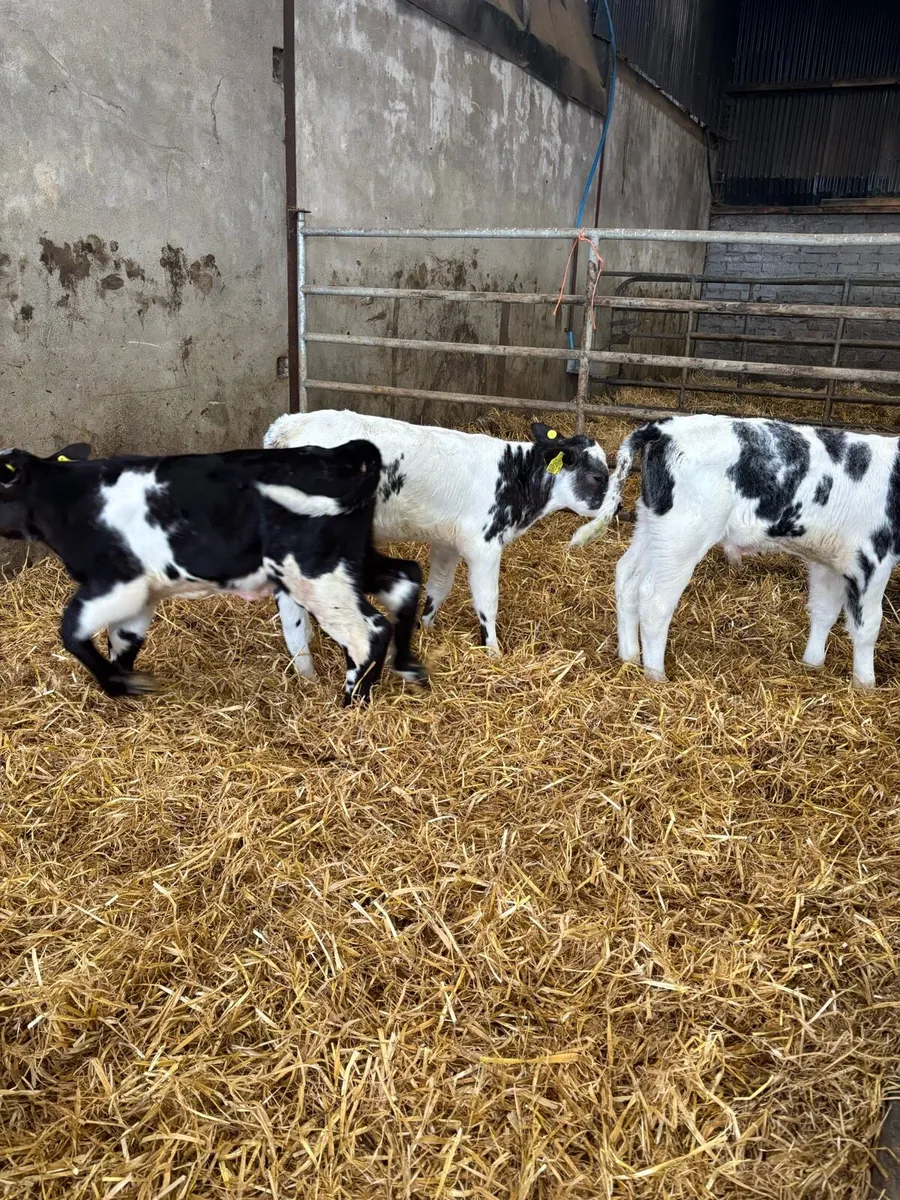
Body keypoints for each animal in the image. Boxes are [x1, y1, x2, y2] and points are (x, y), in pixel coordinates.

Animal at [0, 439, 428, 704]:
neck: (67, 497)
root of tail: (338, 454)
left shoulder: (118, 583)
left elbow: (71, 632)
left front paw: (118, 683)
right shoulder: (143, 594)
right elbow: (124, 641)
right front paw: (124, 685)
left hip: (315, 575)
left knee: (368, 632)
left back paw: (351, 702)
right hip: (352, 560)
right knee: (406, 579)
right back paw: (408, 668)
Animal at [263, 409, 610, 676]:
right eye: (597, 477)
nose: (616, 508)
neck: (515, 477)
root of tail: (286, 427)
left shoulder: (448, 542)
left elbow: (439, 587)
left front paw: (426, 627)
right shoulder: (484, 545)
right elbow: (487, 600)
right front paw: (493, 651)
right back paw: (306, 671)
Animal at [570, 414, 900, 688]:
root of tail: (662, 428)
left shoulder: (827, 559)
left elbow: (823, 611)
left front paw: (812, 664)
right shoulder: (874, 558)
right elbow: (868, 625)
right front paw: (865, 685)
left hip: (654, 528)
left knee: (627, 576)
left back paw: (629, 658)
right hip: (683, 536)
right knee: (654, 598)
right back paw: (656, 675)